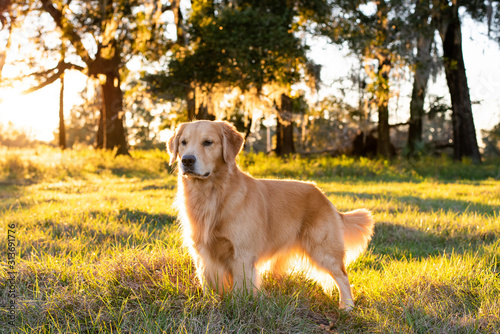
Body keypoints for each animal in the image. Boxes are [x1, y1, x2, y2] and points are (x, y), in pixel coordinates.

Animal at [166, 120, 374, 310]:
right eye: (183, 142)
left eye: (208, 142)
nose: (187, 160)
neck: (212, 195)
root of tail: (321, 194)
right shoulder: (202, 252)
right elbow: (208, 283)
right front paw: (211, 305)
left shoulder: (242, 254)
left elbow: (240, 288)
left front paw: (237, 309)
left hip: (323, 249)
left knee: (343, 276)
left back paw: (347, 307)